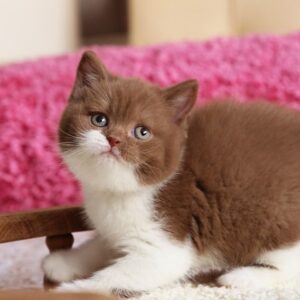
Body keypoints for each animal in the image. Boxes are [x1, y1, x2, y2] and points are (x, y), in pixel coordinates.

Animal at [42, 51, 300, 296]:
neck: (118, 191)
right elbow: (103, 245)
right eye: (99, 119)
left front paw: (68, 291)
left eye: (142, 132)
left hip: (277, 217)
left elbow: (112, 278)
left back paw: (243, 276)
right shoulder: (114, 228)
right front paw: (64, 262)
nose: (114, 139)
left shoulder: (166, 241)